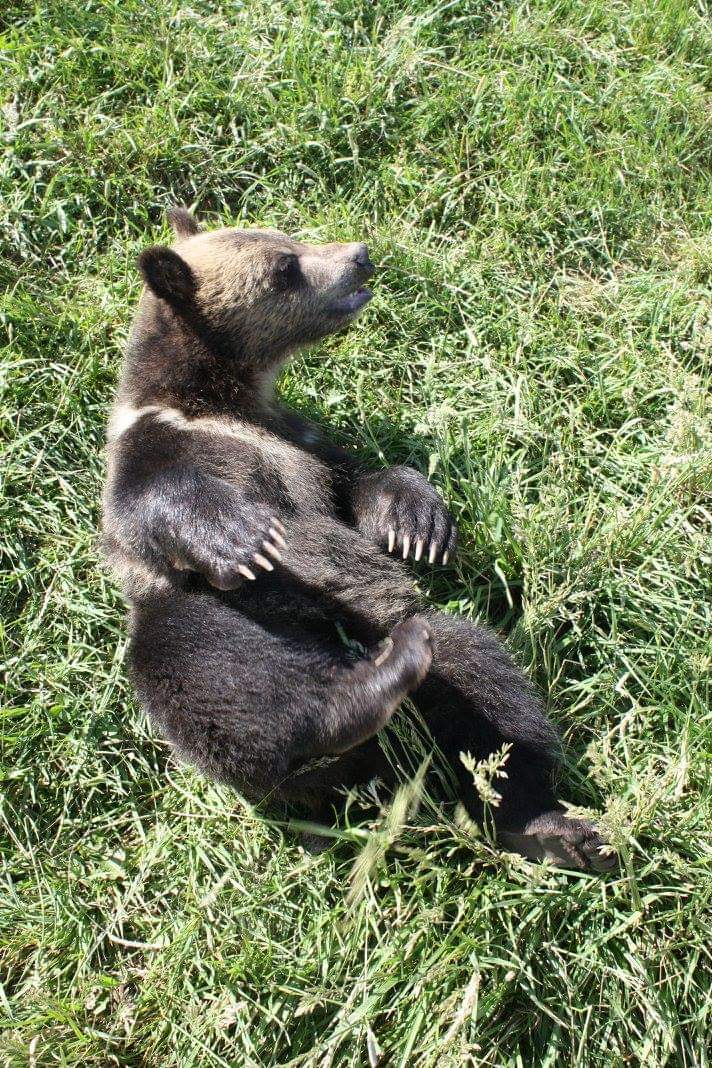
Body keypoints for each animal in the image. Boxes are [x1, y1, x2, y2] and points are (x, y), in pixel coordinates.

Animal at [102, 206, 616, 871]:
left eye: (291, 238)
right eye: (285, 267)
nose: (360, 255)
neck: (220, 398)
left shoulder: (300, 442)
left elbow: (359, 487)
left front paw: (420, 525)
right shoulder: (156, 447)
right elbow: (151, 503)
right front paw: (246, 536)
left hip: (405, 633)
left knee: (489, 699)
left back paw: (552, 827)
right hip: (204, 613)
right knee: (215, 679)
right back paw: (355, 701)